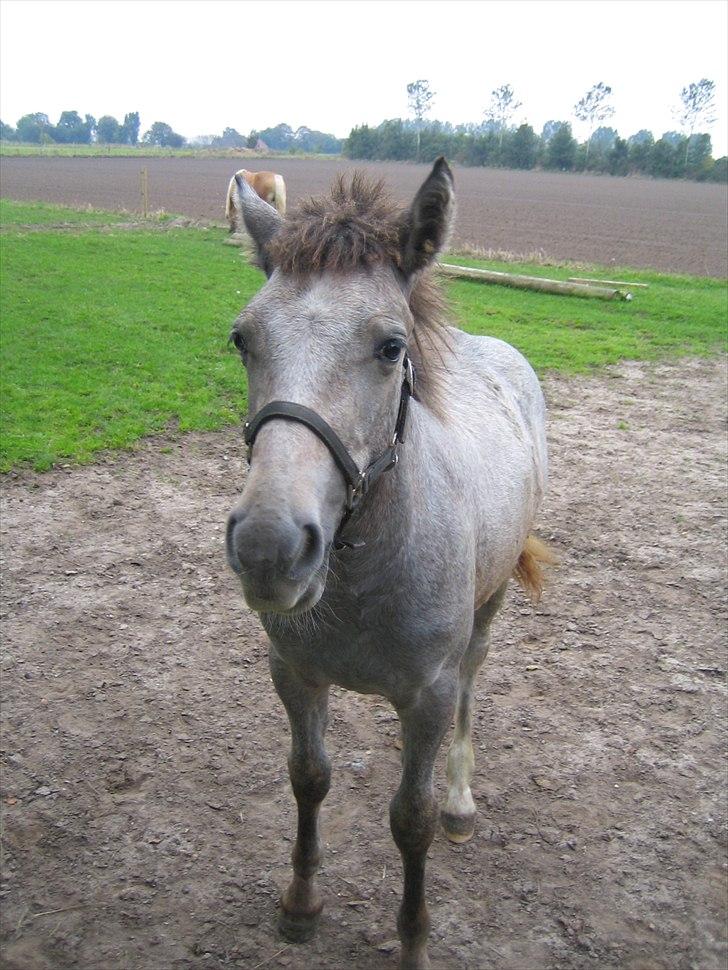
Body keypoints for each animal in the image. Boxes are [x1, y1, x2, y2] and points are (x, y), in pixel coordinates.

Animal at [228, 159, 552, 968]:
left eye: (389, 347)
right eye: (243, 339)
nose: (270, 548)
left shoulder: (426, 697)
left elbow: (412, 819)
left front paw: (412, 941)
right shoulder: (295, 673)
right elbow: (308, 778)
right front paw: (302, 902)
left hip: (486, 613)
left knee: (471, 684)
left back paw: (463, 801)